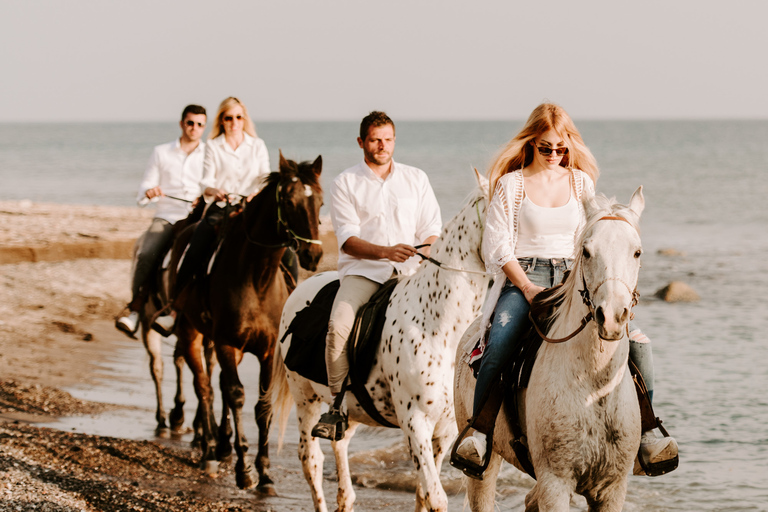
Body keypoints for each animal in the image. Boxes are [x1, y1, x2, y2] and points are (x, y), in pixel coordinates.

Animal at [170, 152, 322, 492]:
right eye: (288, 201)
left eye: (320, 201)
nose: (314, 254)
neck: (256, 278)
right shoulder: (227, 343)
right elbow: (237, 396)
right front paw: (243, 470)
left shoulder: (266, 352)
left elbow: (261, 406)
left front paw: (264, 472)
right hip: (190, 332)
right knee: (205, 387)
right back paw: (210, 452)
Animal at [270, 171, 492, 512]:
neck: (439, 327)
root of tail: (301, 289)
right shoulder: (416, 423)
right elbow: (435, 496)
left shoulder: (442, 430)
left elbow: (424, 493)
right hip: (304, 398)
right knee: (312, 461)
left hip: (347, 406)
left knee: (340, 443)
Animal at [456, 188, 648, 512]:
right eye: (587, 251)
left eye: (636, 252)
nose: (611, 316)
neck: (594, 388)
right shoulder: (555, 483)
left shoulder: (612, 488)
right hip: (484, 465)